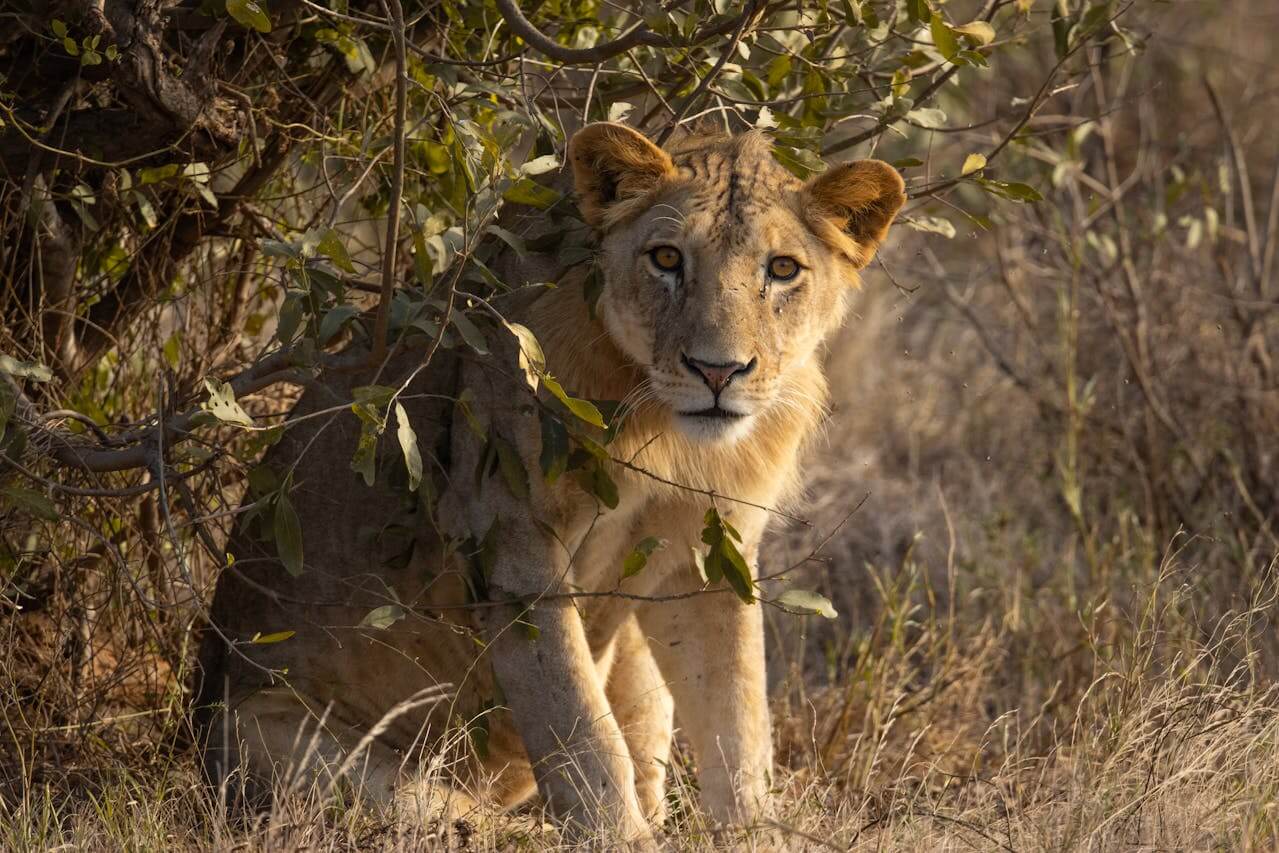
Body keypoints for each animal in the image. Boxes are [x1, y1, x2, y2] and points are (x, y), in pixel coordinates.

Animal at [195, 123, 905, 844]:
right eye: (666, 258)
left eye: (782, 269)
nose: (716, 371)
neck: (665, 428)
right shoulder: (511, 542)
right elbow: (581, 726)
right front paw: (621, 839)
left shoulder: (710, 553)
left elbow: (738, 721)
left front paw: (755, 833)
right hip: (276, 740)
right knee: (465, 821)